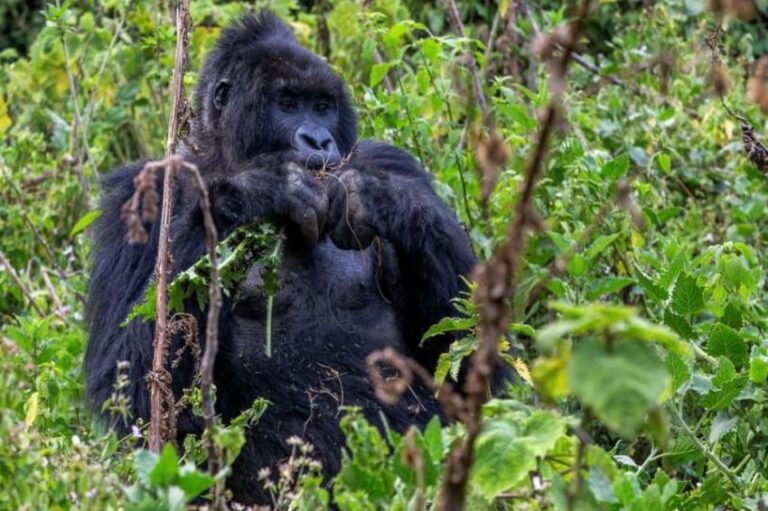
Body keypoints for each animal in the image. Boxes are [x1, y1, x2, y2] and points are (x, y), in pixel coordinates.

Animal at [87, 10, 476, 506]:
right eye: (287, 104)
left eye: (323, 105)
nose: (319, 138)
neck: (223, 156)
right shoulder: (140, 196)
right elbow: (135, 389)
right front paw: (261, 189)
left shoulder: (393, 159)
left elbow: (460, 353)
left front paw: (381, 197)